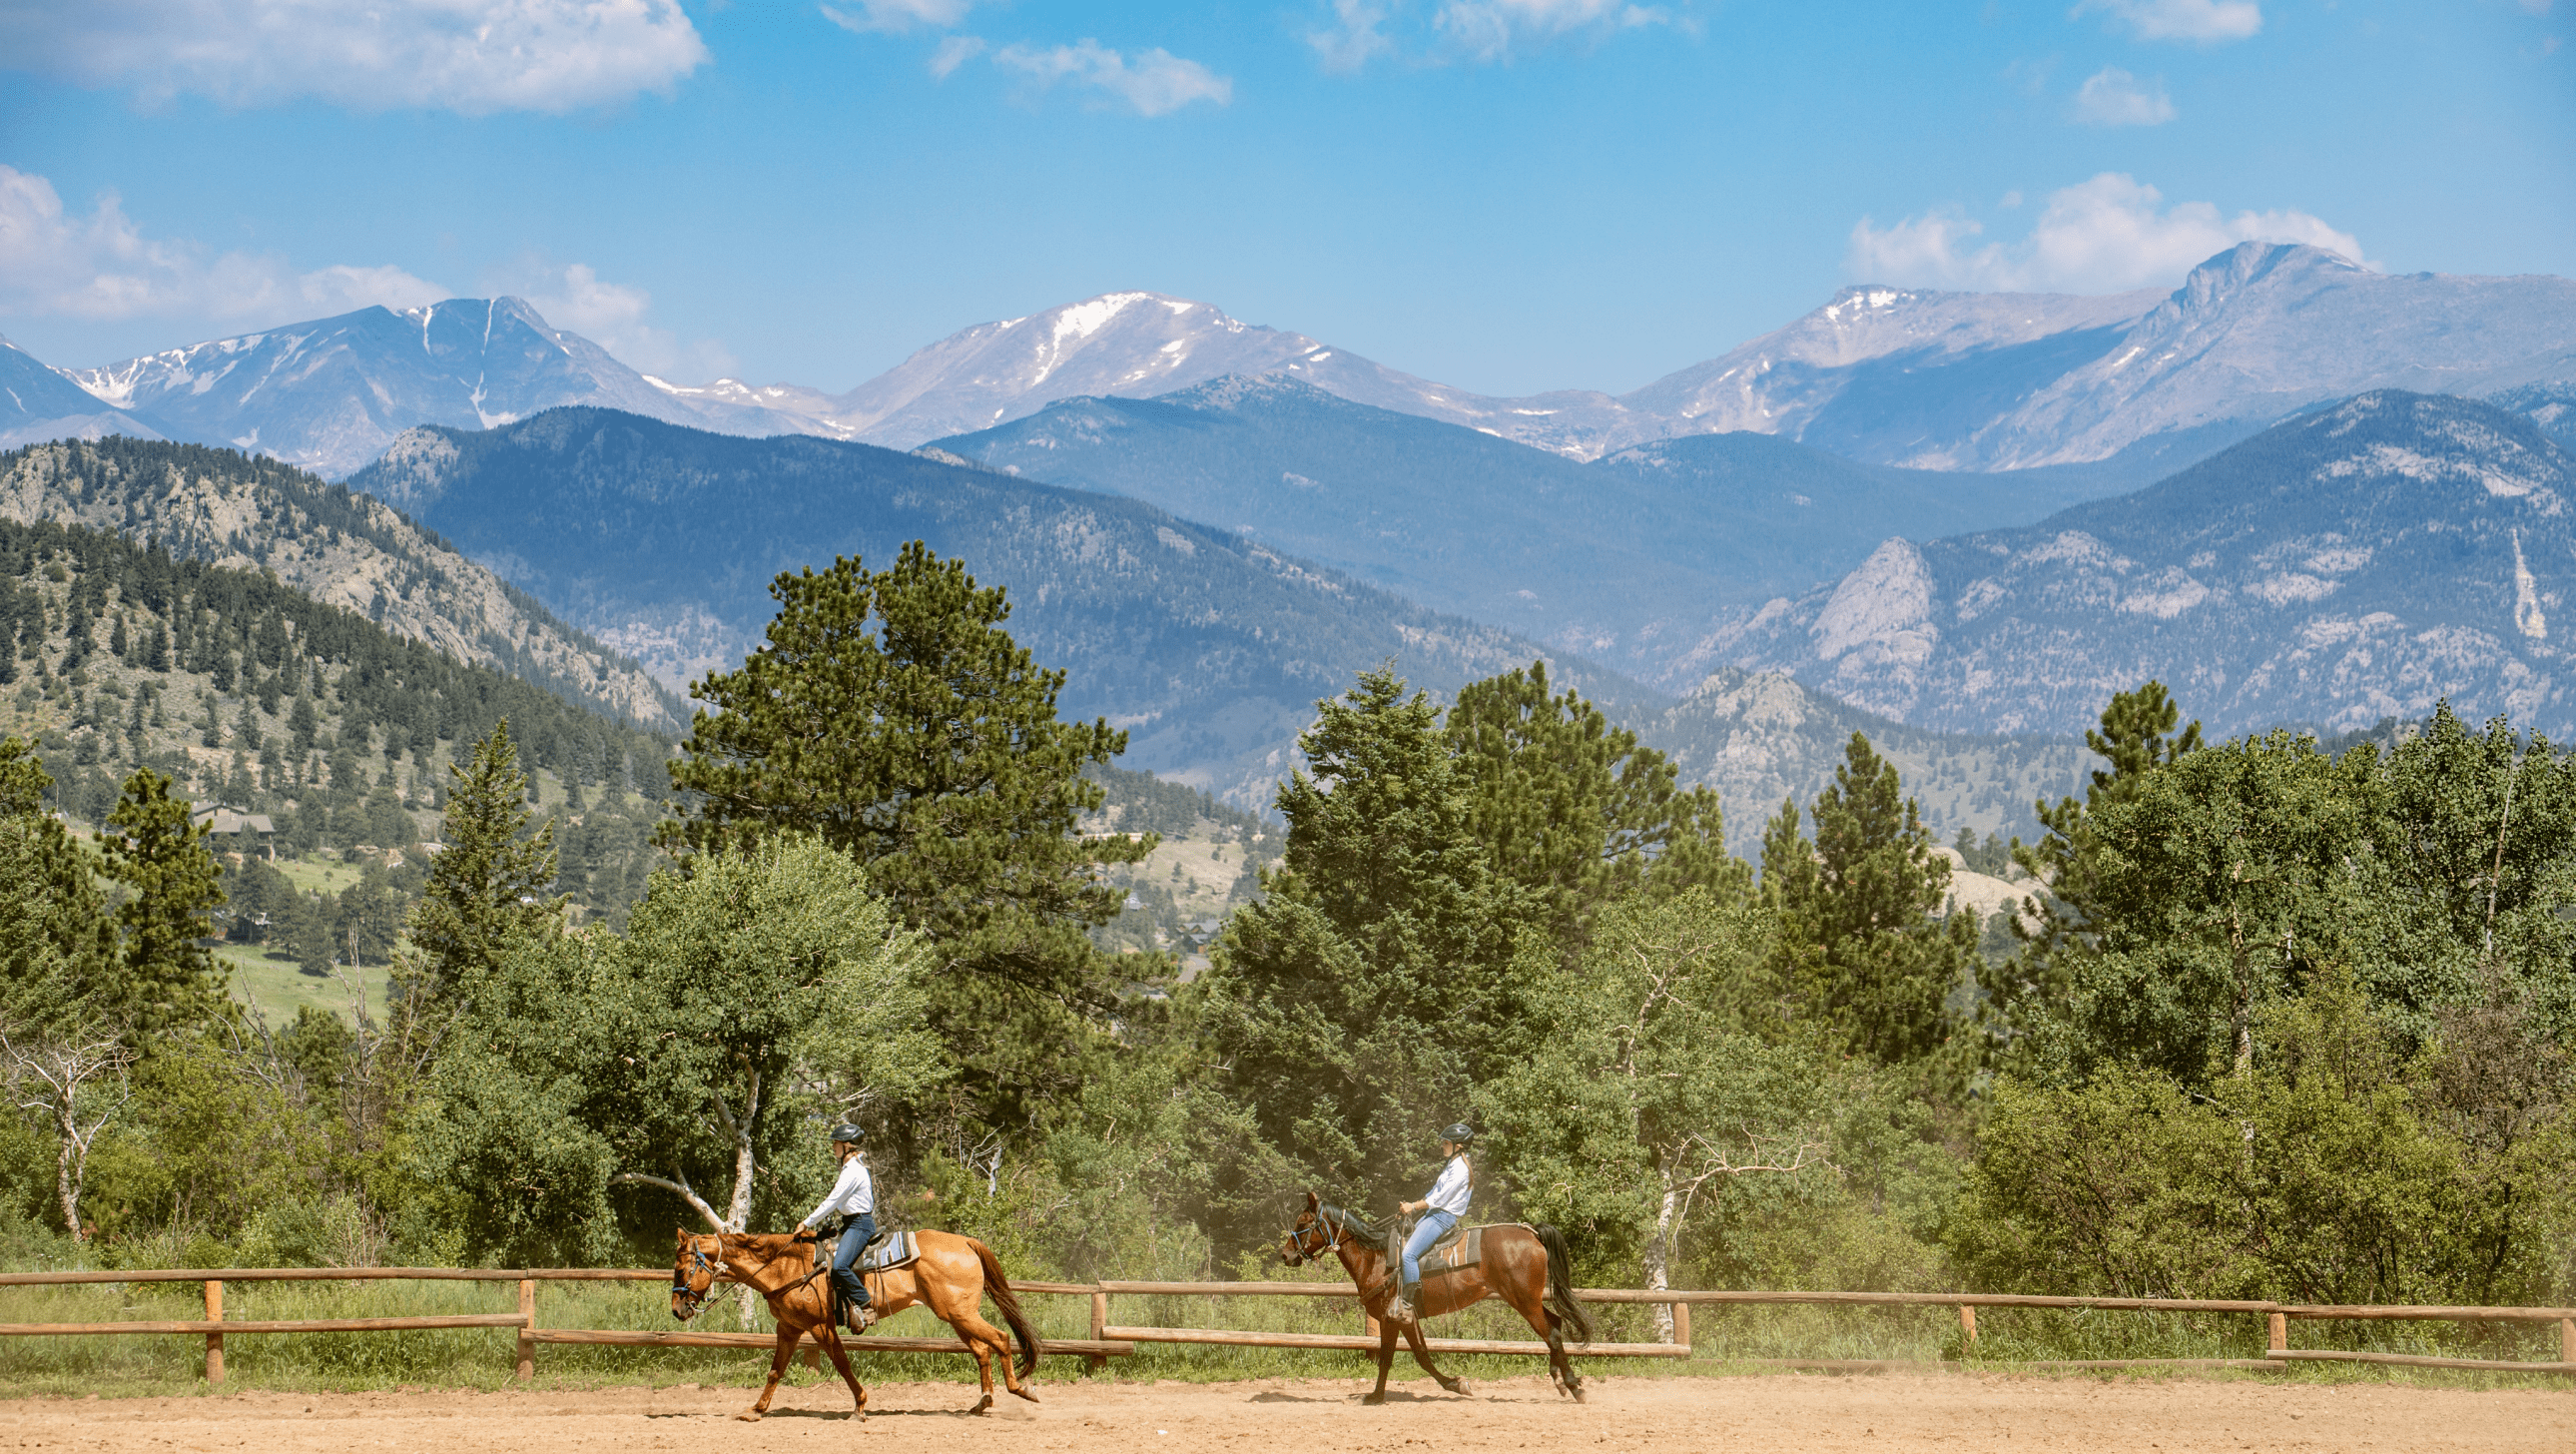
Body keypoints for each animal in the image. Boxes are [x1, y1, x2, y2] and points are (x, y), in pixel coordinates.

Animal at [669, 1226, 1040, 1423]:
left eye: (682, 1268)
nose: (676, 1309)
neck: (786, 1269)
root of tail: (964, 1241)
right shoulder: (789, 1328)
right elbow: (775, 1371)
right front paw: (755, 1410)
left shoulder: (821, 1327)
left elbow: (842, 1363)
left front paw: (860, 1405)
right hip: (955, 1316)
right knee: (982, 1350)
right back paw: (982, 1402)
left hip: (962, 1315)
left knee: (1001, 1338)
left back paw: (1020, 1389)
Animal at [1272, 1190, 1587, 1412]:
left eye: (1303, 1223)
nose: (1285, 1255)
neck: (1376, 1257)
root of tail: (1531, 1232)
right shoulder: (1406, 1318)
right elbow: (1419, 1354)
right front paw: (1455, 1384)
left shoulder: (1391, 1317)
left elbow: (1393, 1358)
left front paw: (1376, 1396)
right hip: (1529, 1300)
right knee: (1555, 1326)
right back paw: (1560, 1381)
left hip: (1524, 1302)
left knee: (1552, 1334)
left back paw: (1574, 1386)